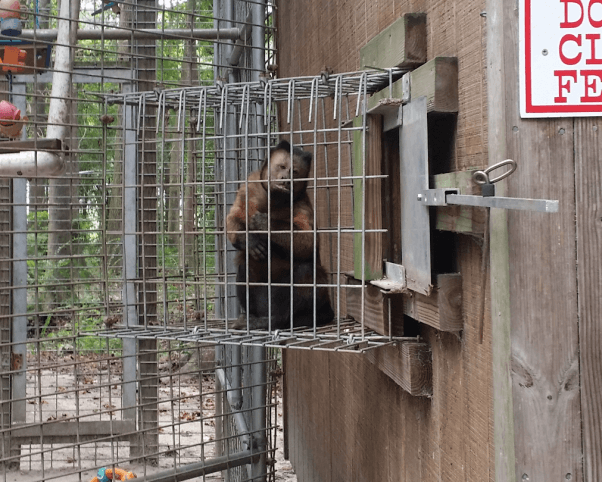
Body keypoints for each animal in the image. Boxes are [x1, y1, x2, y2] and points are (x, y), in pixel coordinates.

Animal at [227, 138, 336, 328]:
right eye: (282, 167)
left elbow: (308, 242)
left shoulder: (301, 204)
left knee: (306, 271)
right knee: (247, 262)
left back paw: (276, 320)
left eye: (295, 171)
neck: (274, 199)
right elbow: (233, 217)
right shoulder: (250, 186)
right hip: (263, 299)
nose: (286, 179)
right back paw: (255, 317)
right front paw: (249, 240)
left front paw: (265, 224)